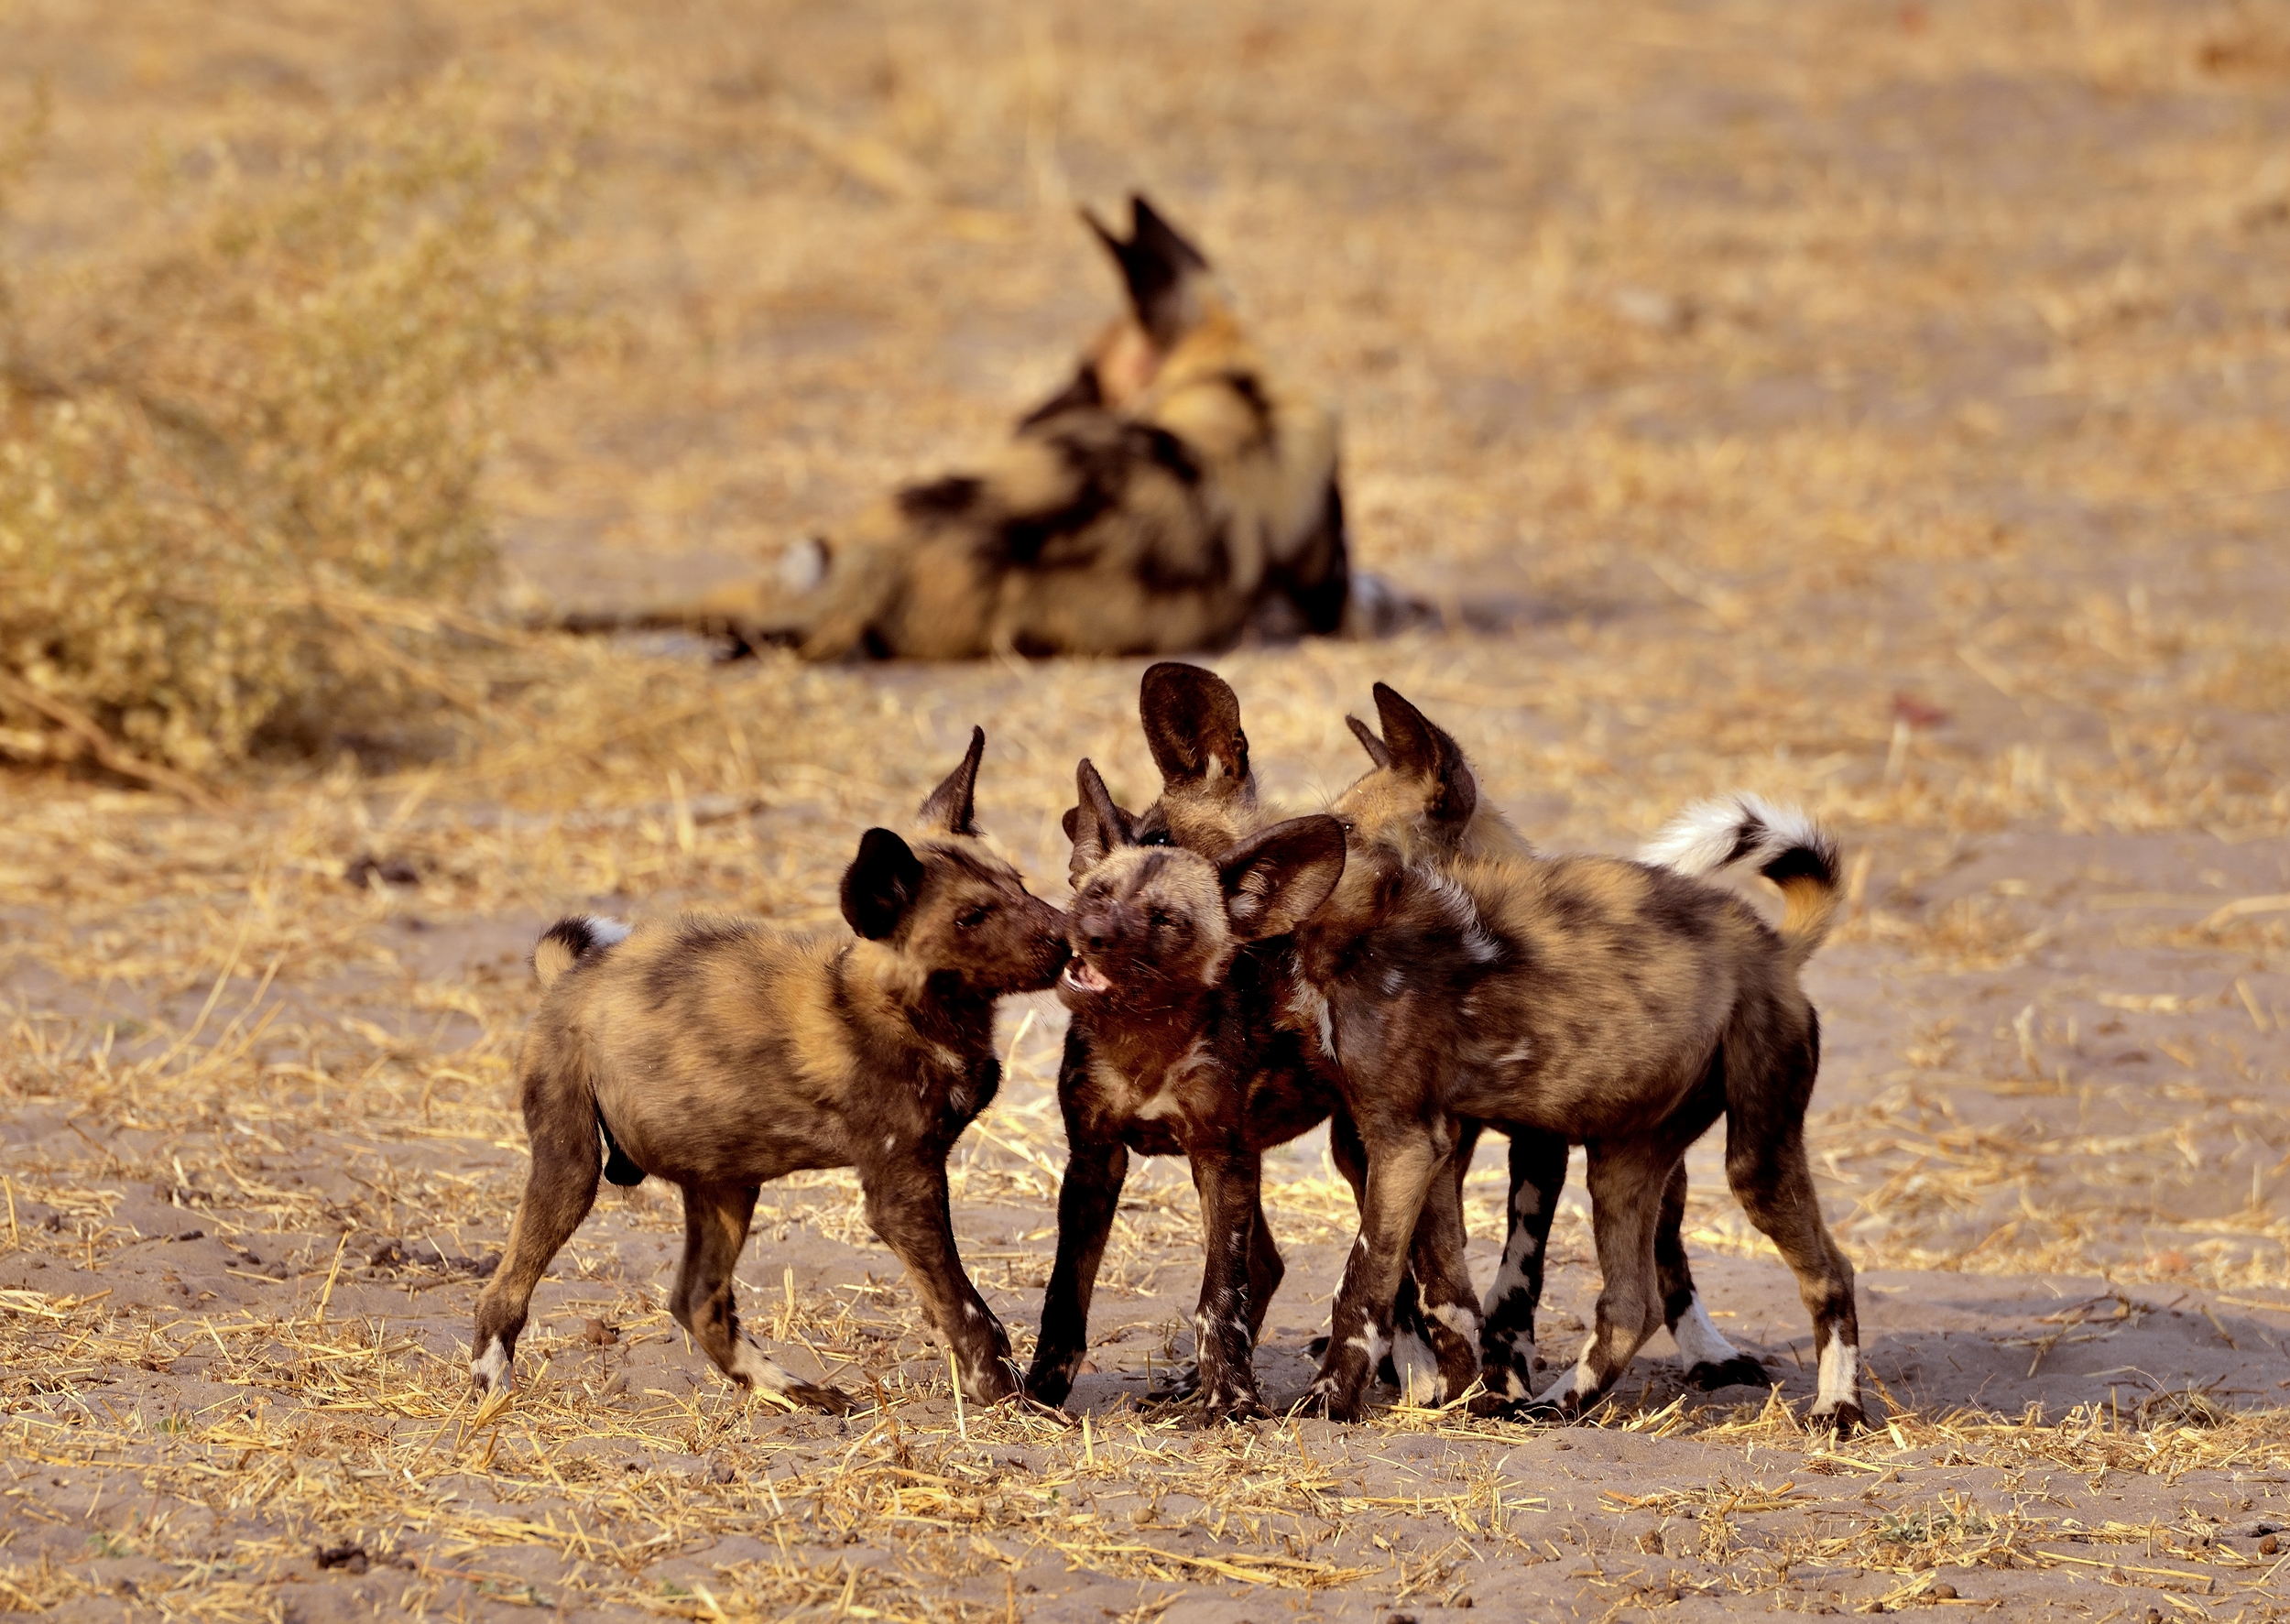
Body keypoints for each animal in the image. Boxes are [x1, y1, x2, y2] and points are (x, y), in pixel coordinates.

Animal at [472, 728, 1072, 1411]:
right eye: (971, 917)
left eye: (1019, 884)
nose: (1067, 935)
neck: (920, 1014)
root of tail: (569, 982)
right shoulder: (903, 1189)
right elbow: (968, 1309)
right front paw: (1005, 1394)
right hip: (571, 1171)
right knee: (503, 1290)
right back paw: (491, 1390)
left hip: (727, 1185)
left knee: (697, 1301)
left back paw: (792, 1389)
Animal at [1292, 692, 1859, 1429]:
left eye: (1347, 832)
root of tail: (1771, 948)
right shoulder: (1419, 1146)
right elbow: (1437, 1288)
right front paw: (1455, 1386)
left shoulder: (1444, 1145)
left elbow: (1388, 1281)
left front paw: (1341, 1395)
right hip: (1625, 1160)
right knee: (1632, 1301)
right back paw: (1554, 1404)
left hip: (1754, 1161)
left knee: (1825, 1274)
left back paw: (1837, 1405)